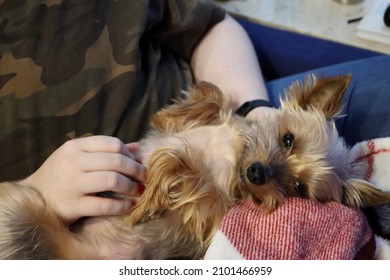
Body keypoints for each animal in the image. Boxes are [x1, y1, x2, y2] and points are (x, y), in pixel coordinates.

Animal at [2, 75, 390, 260]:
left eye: (299, 188)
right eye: (287, 139)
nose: (257, 173)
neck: (231, 153)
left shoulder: (210, 212)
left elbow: (177, 165)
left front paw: (150, 198)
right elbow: (212, 96)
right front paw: (172, 113)